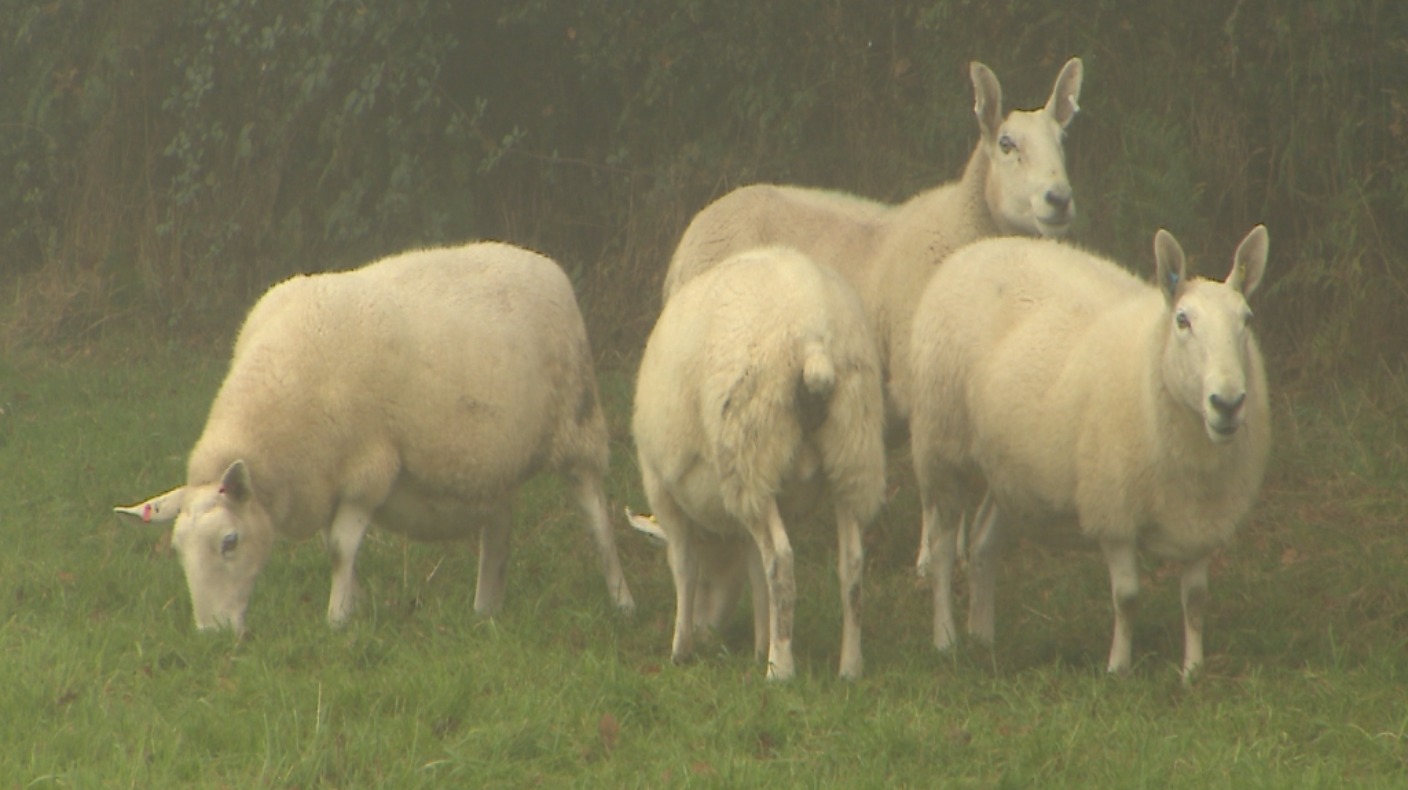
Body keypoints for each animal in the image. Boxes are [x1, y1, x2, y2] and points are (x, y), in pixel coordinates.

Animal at [114, 241, 636, 634]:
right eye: (178, 551)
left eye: (230, 542)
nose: (213, 636)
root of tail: (544, 264)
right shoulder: (324, 475)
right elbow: (337, 548)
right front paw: (355, 603)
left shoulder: (367, 471)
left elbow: (340, 548)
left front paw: (338, 620)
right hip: (492, 458)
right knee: (498, 529)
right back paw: (486, 609)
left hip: (577, 426)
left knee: (597, 518)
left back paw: (622, 599)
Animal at [633, 246, 887, 680]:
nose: (706, 631)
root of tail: (812, 336)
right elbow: (755, 570)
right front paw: (758, 643)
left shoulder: (661, 487)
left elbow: (684, 565)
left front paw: (681, 649)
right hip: (853, 450)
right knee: (851, 563)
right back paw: (850, 666)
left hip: (749, 454)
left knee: (782, 562)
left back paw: (780, 669)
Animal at [908, 226, 1271, 678]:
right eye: (1183, 321)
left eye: (1247, 320)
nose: (1227, 403)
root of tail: (974, 250)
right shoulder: (1113, 509)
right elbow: (1128, 598)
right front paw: (1118, 669)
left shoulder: (1200, 521)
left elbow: (1196, 601)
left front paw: (1193, 671)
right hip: (942, 445)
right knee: (941, 547)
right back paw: (947, 640)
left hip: (1011, 466)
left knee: (983, 539)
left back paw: (982, 636)